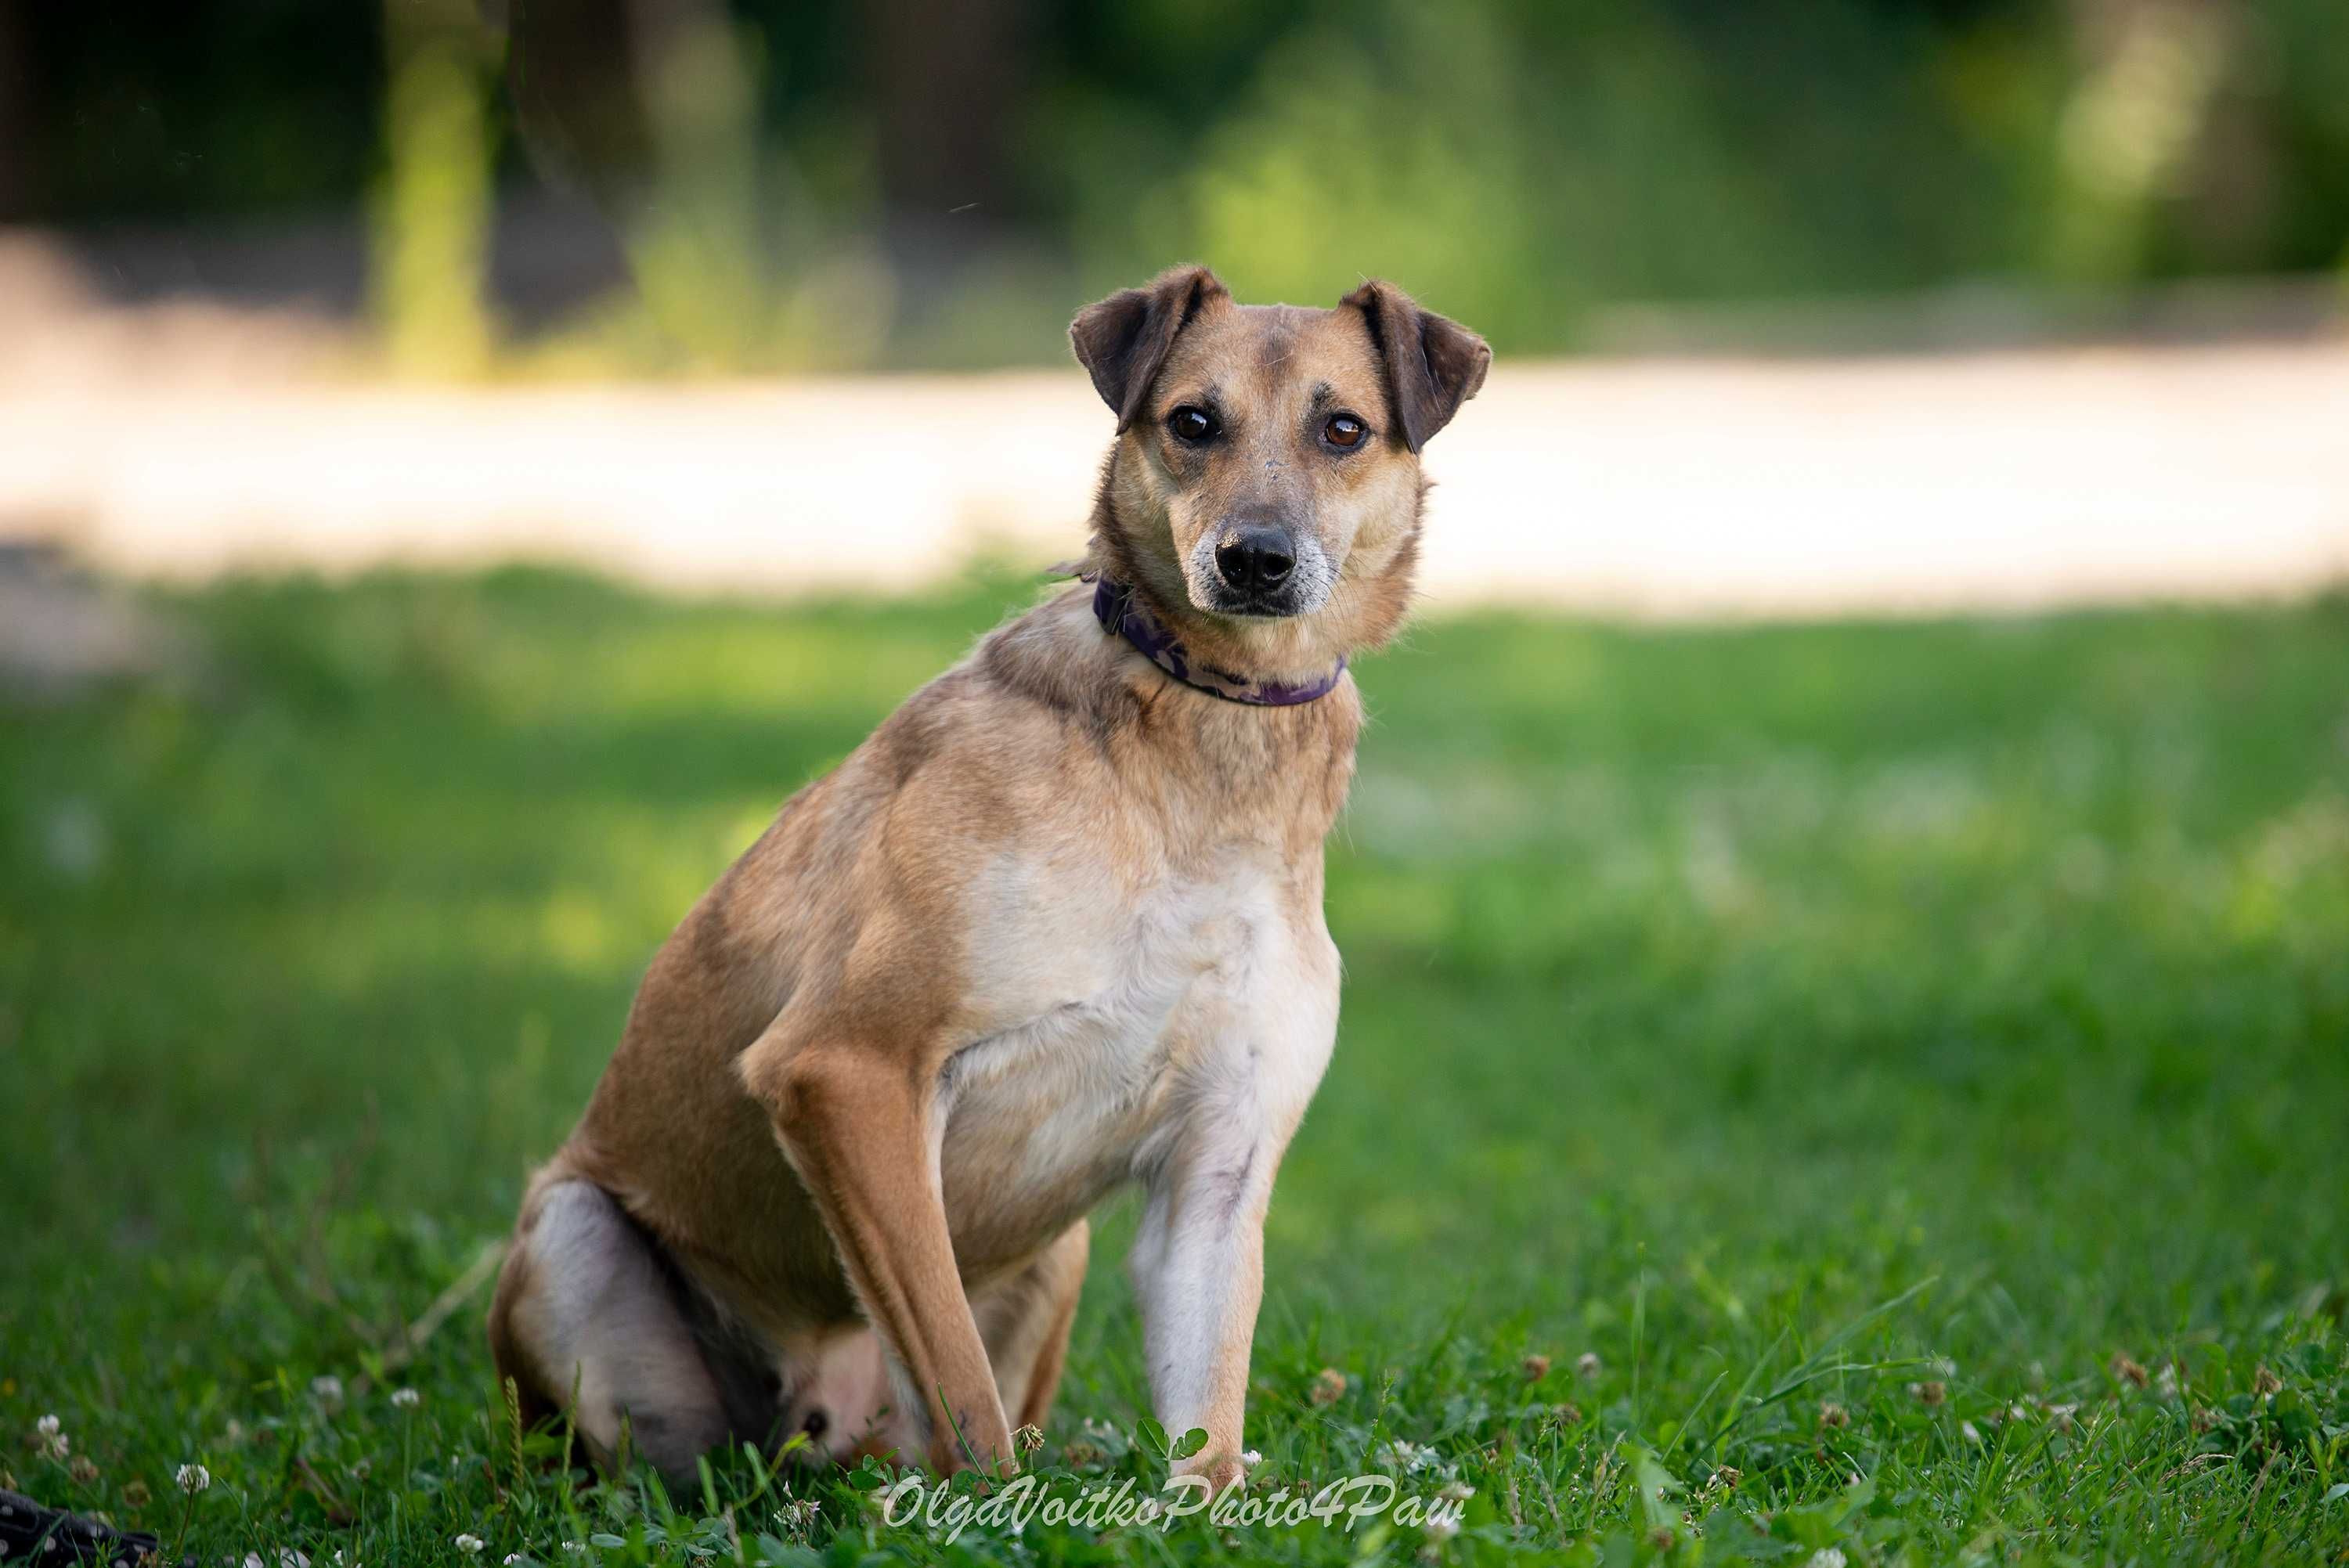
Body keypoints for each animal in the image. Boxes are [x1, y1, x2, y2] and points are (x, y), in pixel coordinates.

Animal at [486, 262, 1494, 1493]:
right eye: (1192, 423)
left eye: (1342, 428)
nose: (1254, 559)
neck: (1199, 748)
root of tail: (820, 1431)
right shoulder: (847, 1067)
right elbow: (962, 1385)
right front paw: (1006, 1505)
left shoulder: (1218, 1165)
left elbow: (1207, 1424)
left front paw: (1202, 1503)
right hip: (577, 1244)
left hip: (1059, 1248)